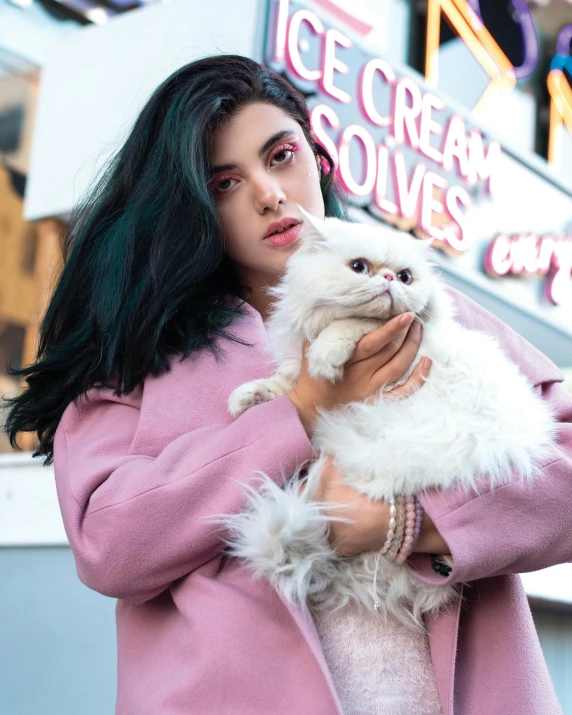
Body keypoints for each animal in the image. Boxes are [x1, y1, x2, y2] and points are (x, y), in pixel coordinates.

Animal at [221, 210, 556, 628]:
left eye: (406, 277)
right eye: (359, 268)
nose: (388, 280)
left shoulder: (393, 329)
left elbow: (352, 326)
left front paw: (324, 358)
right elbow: (284, 386)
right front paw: (247, 399)